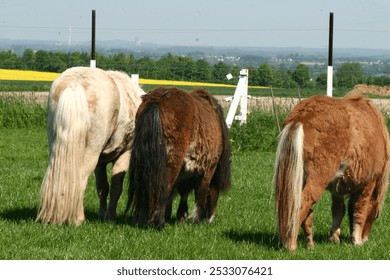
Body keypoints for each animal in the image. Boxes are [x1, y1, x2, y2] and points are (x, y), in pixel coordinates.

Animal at [35, 66, 143, 225]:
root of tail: (74, 84)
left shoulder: (100, 162)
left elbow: (102, 187)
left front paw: (102, 215)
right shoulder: (125, 154)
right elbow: (116, 187)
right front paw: (110, 216)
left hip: (56, 146)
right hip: (91, 152)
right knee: (80, 180)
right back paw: (78, 219)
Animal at [126, 86, 232, 229]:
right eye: (217, 191)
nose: (210, 219)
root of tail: (157, 100)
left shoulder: (186, 170)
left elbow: (184, 193)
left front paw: (181, 216)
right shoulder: (209, 168)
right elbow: (200, 193)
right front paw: (196, 219)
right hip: (173, 161)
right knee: (164, 187)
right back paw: (159, 222)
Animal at [274, 94, 390, 252]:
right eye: (376, 215)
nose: (365, 239)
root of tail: (301, 116)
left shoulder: (337, 188)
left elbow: (338, 210)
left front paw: (334, 238)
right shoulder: (368, 183)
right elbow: (359, 209)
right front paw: (356, 241)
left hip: (297, 179)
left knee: (304, 212)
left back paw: (310, 244)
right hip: (317, 179)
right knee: (300, 206)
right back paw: (291, 245)